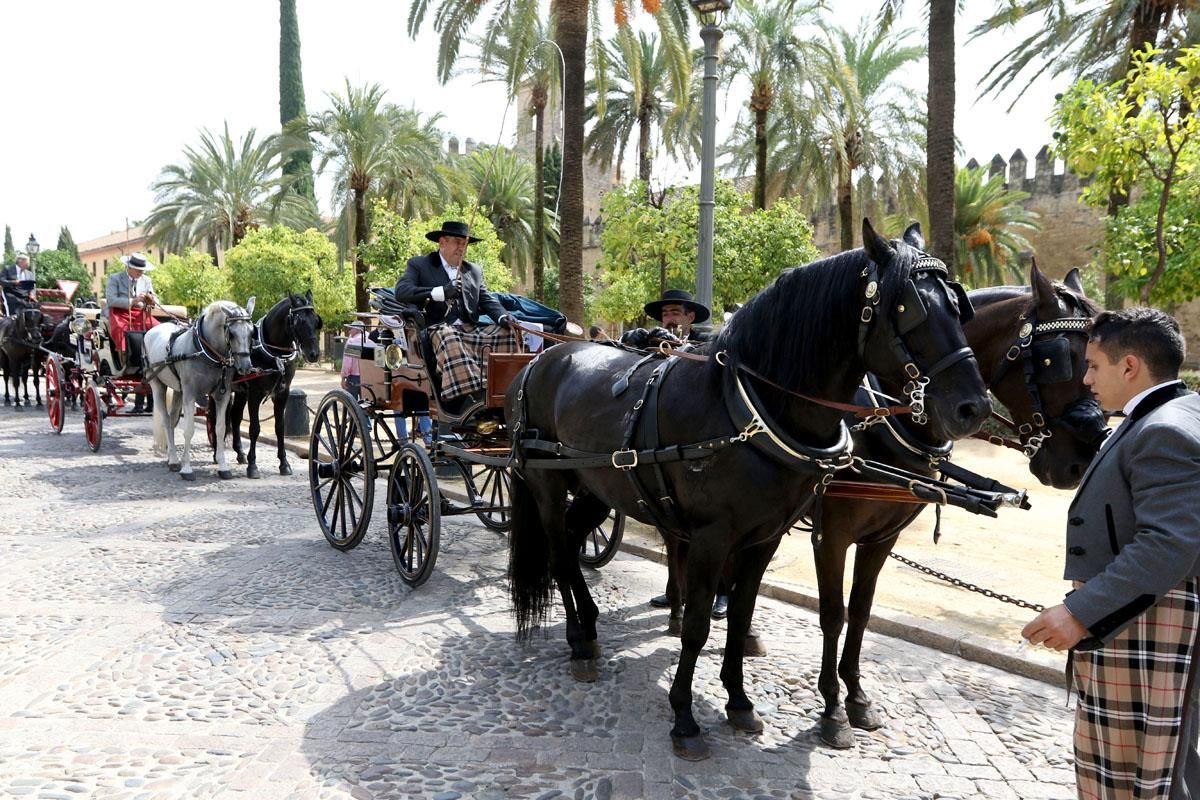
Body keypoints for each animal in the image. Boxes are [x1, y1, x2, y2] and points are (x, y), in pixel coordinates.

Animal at [146, 297, 256, 479]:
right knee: (166, 420)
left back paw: (171, 456)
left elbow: (220, 429)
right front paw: (187, 468)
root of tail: (152, 330)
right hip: (157, 385)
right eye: (231, 333)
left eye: (252, 332)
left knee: (173, 419)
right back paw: (174, 460)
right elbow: (189, 430)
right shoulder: (190, 394)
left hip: (178, 391)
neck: (205, 351)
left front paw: (223, 467)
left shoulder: (222, 396)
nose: (246, 367)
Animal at [225, 291, 324, 479]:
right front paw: (253, 466)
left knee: (235, 416)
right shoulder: (255, 393)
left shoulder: (282, 393)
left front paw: (284, 463)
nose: (314, 354)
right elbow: (254, 428)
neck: (274, 353)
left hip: (241, 391)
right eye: (299, 321)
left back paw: (240, 453)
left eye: (316, 321)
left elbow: (280, 427)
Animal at [506, 221, 993, 762]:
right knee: (558, 553)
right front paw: (685, 717)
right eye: (911, 309)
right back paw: (578, 640)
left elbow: (745, 614)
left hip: (597, 489)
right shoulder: (731, 537)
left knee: (572, 543)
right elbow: (706, 623)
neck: (746, 408)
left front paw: (739, 700)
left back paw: (590, 626)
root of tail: (543, 358)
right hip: (548, 485)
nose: (973, 408)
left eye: (959, 307)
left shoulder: (772, 536)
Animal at [806, 227, 1104, 748]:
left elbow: (860, 612)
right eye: (1058, 360)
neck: (879, 416)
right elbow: (833, 614)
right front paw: (832, 710)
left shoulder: (882, 538)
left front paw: (857, 697)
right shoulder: (832, 535)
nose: (1078, 463)